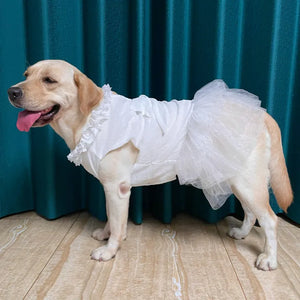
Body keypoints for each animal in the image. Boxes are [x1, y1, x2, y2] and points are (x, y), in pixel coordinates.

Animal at [8, 59, 292, 270]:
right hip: (236, 178)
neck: (90, 118)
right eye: (26, 74)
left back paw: (269, 259)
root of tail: (263, 114)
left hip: (246, 181)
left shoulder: (118, 188)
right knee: (252, 213)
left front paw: (109, 250)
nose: (12, 91)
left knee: (269, 220)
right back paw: (242, 233)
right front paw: (106, 234)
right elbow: (111, 216)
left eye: (49, 80)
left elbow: (118, 223)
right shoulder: (110, 188)